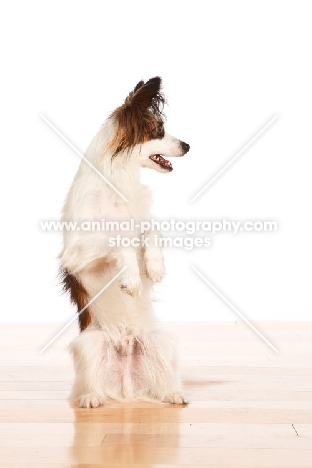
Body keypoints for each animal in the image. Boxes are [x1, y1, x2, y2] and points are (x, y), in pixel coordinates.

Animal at [59, 76, 190, 406]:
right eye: (158, 130)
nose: (188, 146)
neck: (118, 182)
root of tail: (126, 388)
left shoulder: (144, 224)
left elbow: (152, 233)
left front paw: (155, 267)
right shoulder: (76, 254)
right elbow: (118, 240)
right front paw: (130, 278)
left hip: (163, 341)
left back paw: (173, 393)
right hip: (88, 346)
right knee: (89, 383)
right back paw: (92, 397)